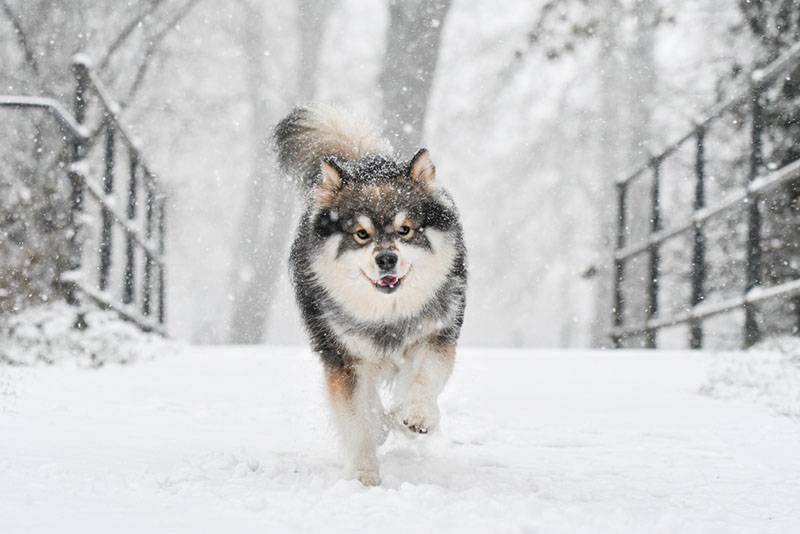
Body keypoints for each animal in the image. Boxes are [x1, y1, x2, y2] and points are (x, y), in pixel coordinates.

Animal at [274, 104, 466, 486]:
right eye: (361, 234)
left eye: (405, 230)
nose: (386, 259)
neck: (388, 313)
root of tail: (364, 160)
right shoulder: (343, 357)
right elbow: (356, 419)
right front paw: (364, 474)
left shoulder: (437, 333)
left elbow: (424, 378)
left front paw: (416, 415)